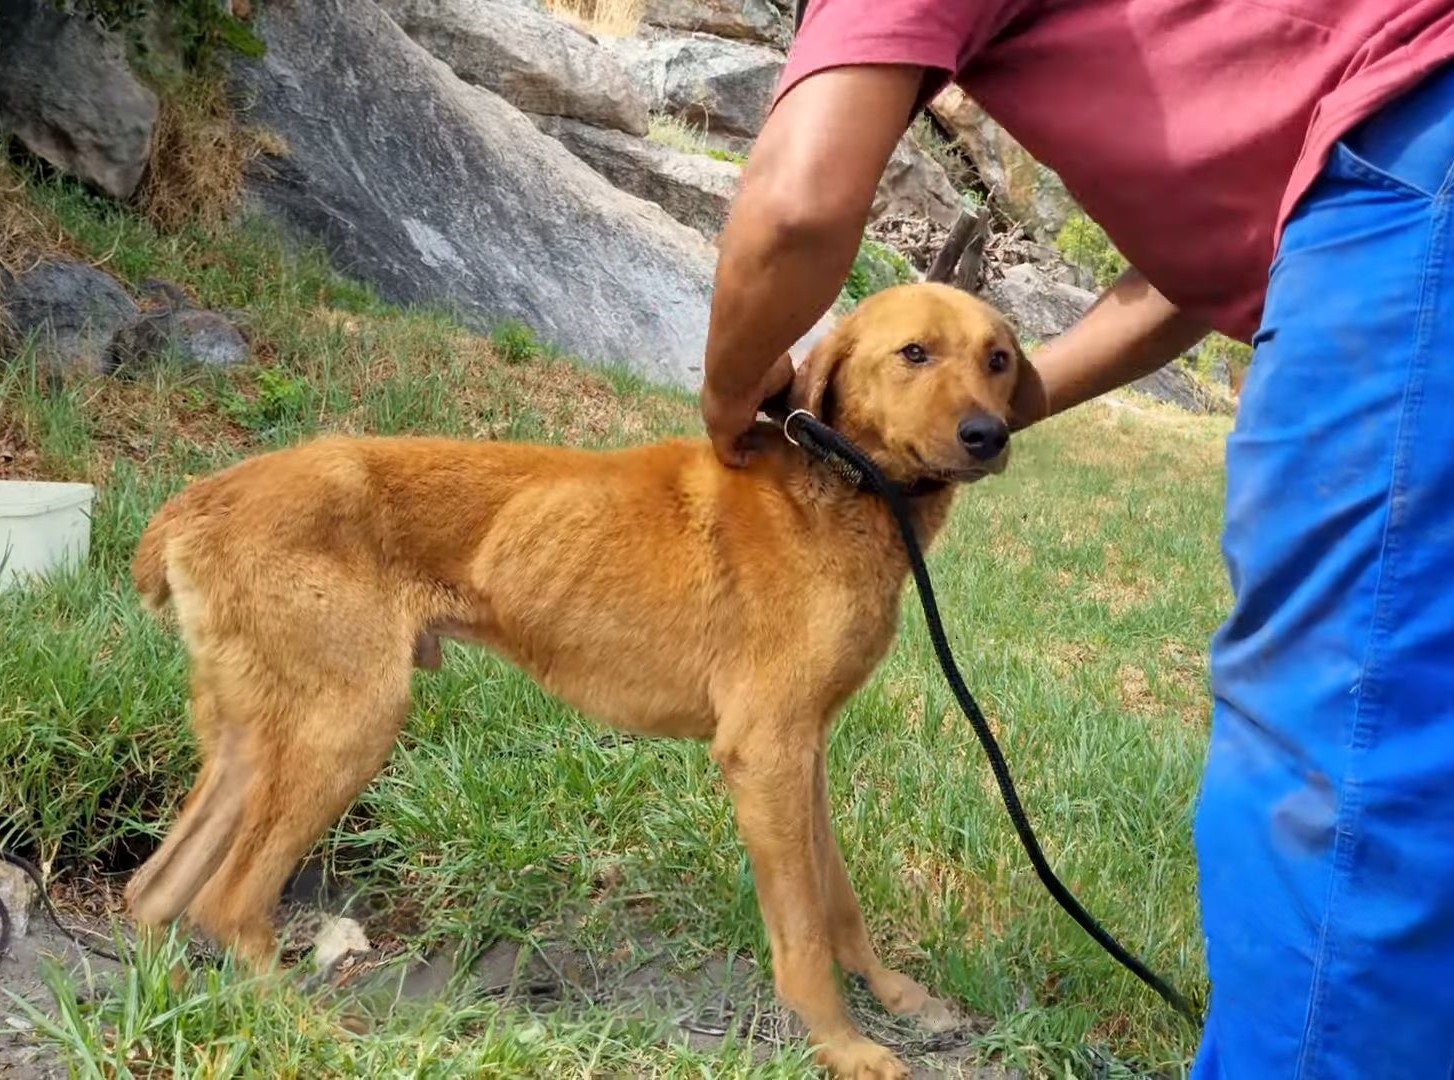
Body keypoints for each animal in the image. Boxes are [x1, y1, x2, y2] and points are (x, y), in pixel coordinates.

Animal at [122, 283, 1035, 1075]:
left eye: (997, 359)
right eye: (914, 353)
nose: (989, 435)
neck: (842, 492)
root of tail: (199, 499)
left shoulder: (803, 749)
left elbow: (837, 899)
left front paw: (893, 996)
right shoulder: (766, 752)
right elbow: (804, 931)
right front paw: (842, 1045)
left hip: (257, 741)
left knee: (154, 891)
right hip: (350, 724)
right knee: (227, 904)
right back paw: (312, 1033)